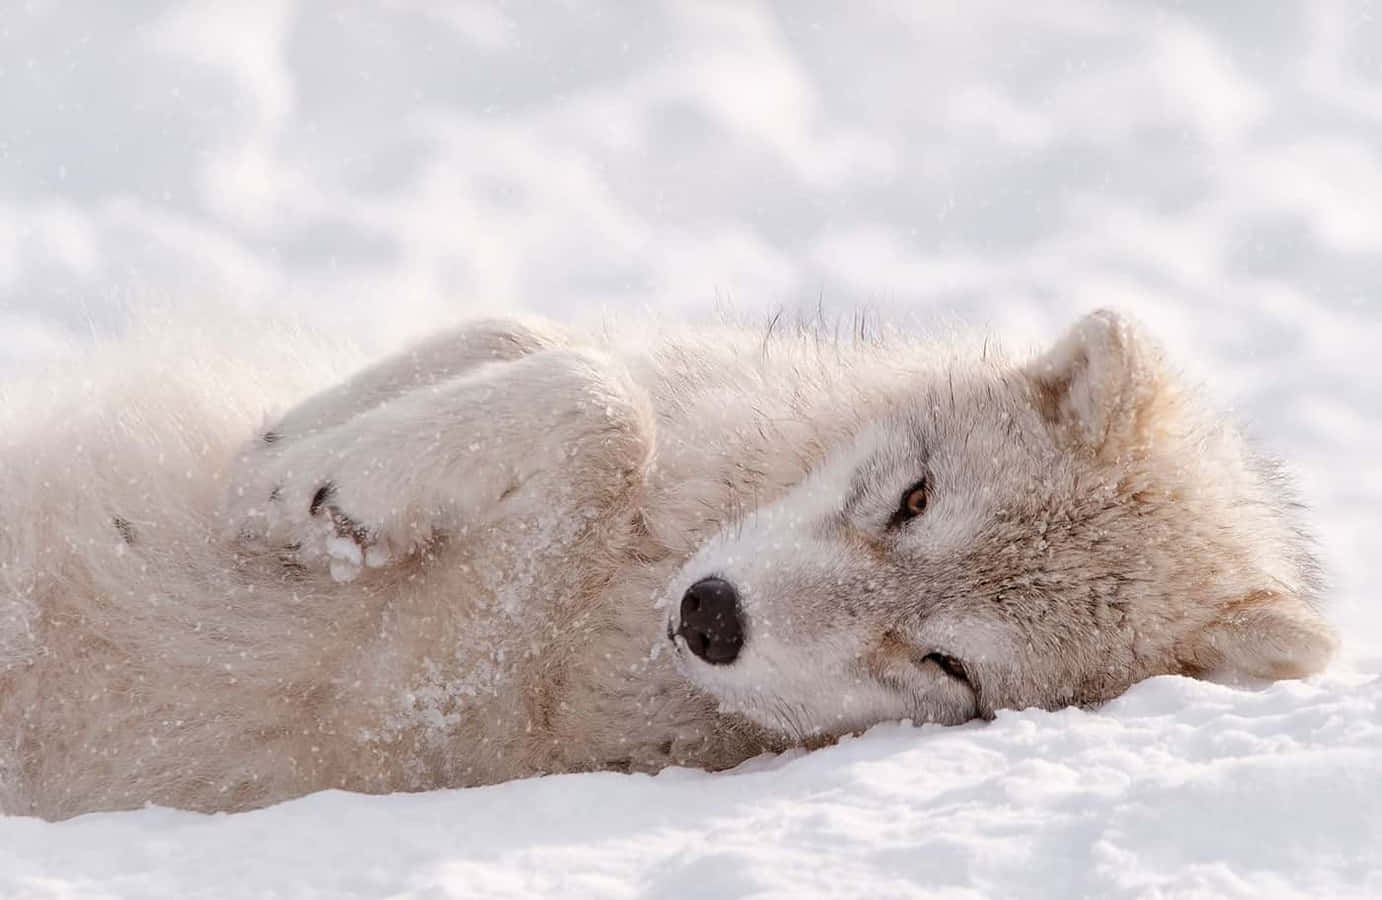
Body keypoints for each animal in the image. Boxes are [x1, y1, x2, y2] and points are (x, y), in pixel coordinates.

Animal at [0, 309, 1336, 819]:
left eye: (948, 670)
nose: (710, 618)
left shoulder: (398, 724)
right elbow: (547, 345)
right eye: (910, 500)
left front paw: (323, 495)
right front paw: (290, 464)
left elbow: (601, 414)